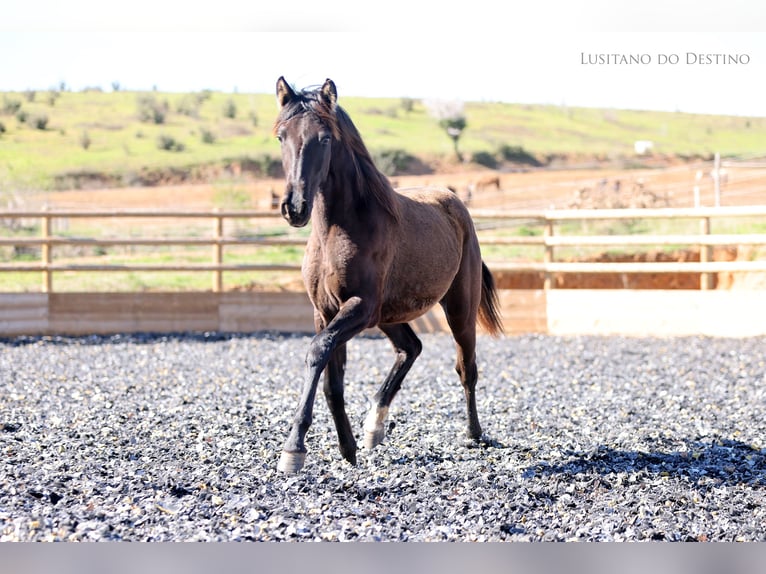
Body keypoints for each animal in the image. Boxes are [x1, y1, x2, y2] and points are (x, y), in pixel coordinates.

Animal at [273, 77, 504, 473]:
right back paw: (374, 428)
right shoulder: (326, 312)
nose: (295, 207)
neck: (342, 228)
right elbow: (332, 381)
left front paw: (294, 449)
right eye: (281, 137)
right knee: (410, 348)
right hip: (389, 315)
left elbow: (317, 352)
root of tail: (456, 204)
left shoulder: (359, 307)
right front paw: (347, 450)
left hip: (457, 308)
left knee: (466, 366)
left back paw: (474, 434)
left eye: (325, 138)